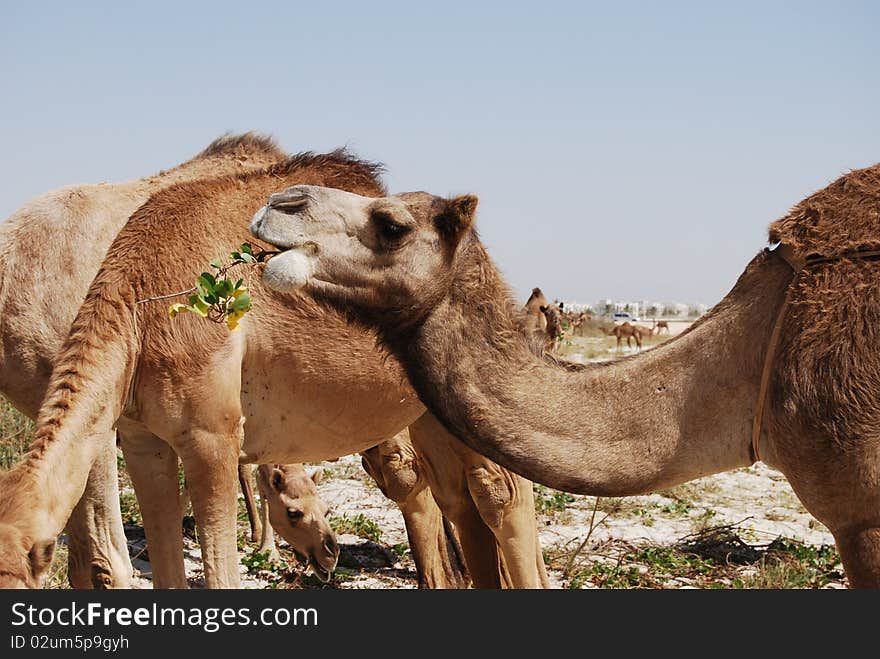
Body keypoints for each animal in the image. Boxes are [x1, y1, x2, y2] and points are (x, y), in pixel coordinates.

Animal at [0, 151, 552, 592]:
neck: (138, 305)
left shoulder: (212, 434)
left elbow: (220, 575)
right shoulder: (142, 440)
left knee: (501, 490)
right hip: (427, 413)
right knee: (454, 494)